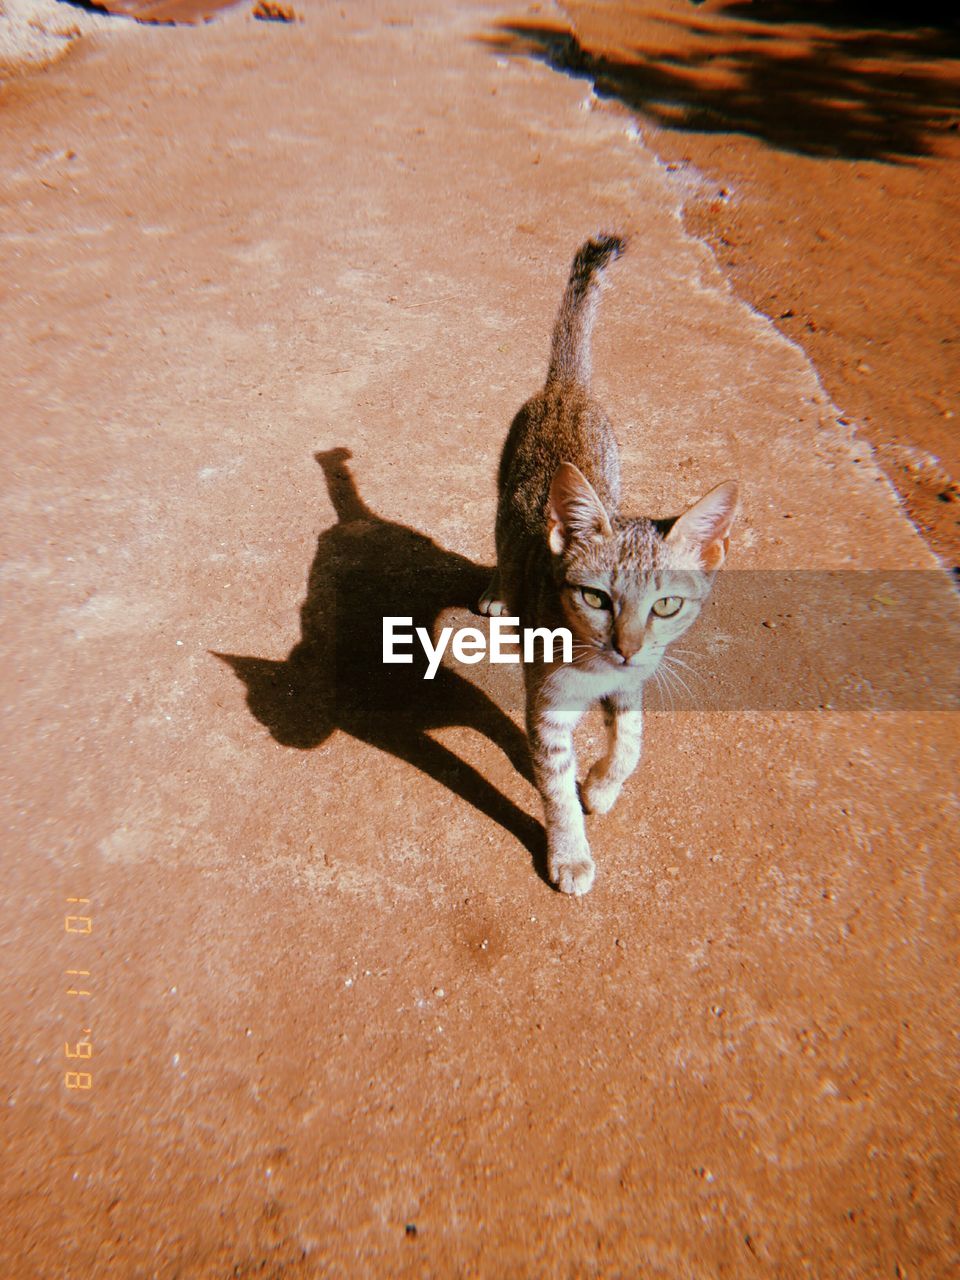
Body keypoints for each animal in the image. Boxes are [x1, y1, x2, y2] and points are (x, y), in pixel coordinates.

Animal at [481, 238, 742, 901]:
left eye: (667, 605)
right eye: (596, 598)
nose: (625, 648)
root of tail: (566, 385)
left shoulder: (632, 684)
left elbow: (633, 742)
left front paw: (601, 784)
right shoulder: (547, 706)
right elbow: (555, 789)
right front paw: (571, 851)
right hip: (502, 493)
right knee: (498, 541)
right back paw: (497, 588)